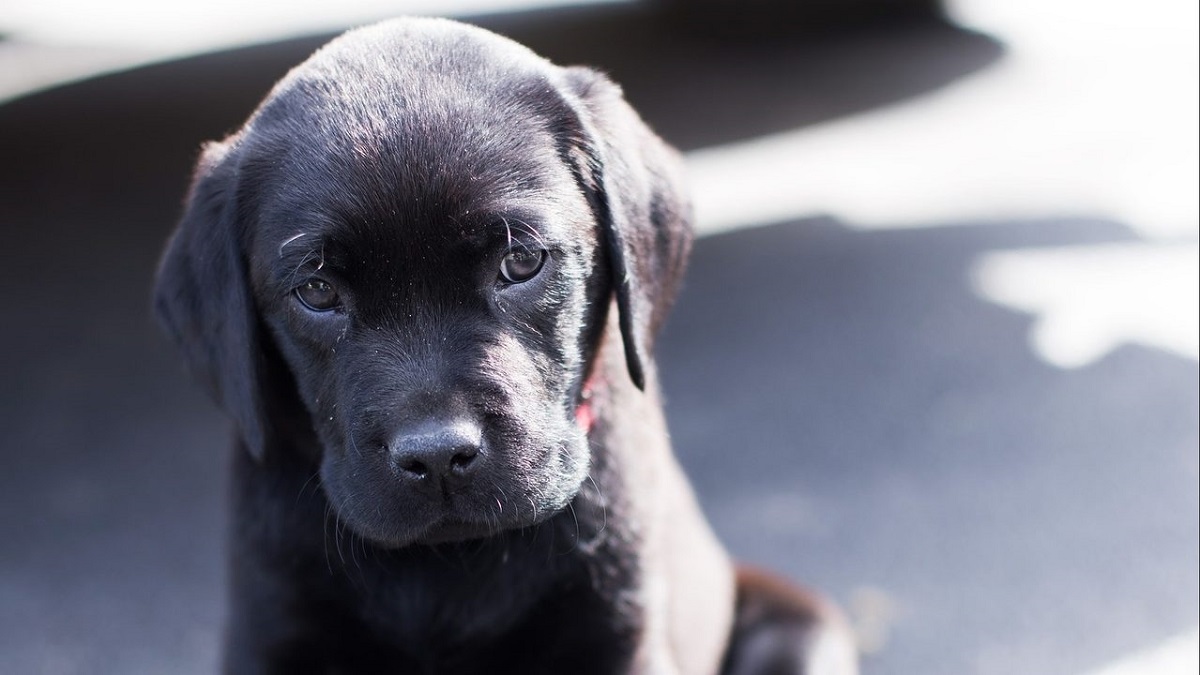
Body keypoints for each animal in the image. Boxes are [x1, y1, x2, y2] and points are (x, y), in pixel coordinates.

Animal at [154, 17, 859, 672]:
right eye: (318, 291)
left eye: (520, 263)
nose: (437, 456)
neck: (446, 562)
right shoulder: (271, 631)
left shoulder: (618, 632)